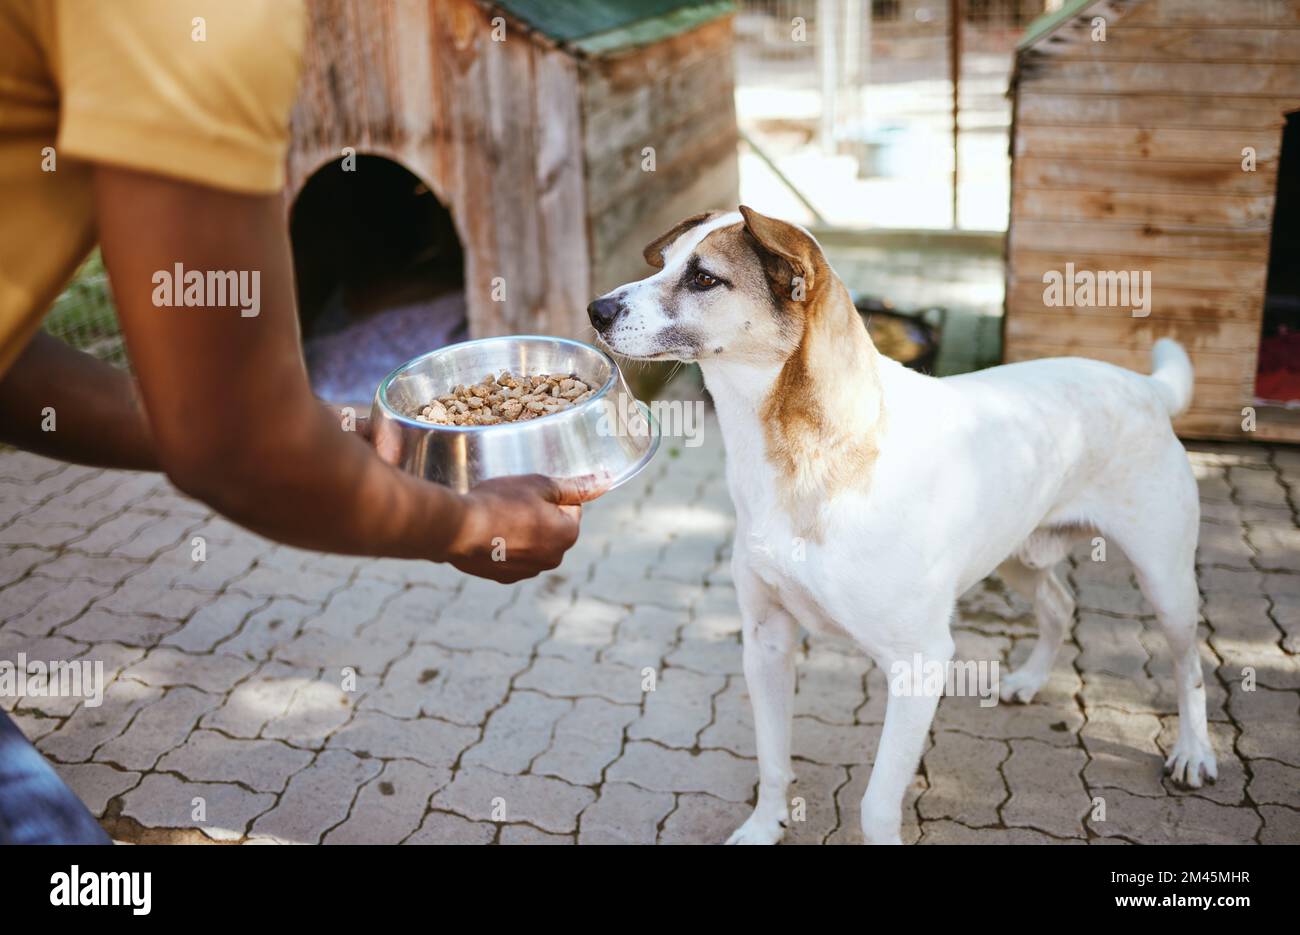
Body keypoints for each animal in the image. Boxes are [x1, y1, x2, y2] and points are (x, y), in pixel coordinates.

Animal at [590, 208, 1216, 842]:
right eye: (667, 263)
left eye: (704, 278)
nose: (597, 309)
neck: (804, 456)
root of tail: (1142, 385)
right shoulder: (766, 639)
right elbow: (771, 761)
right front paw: (765, 826)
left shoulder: (920, 664)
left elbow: (874, 804)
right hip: (1016, 554)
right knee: (1060, 604)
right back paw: (1030, 679)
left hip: (1165, 581)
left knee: (1190, 665)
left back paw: (1194, 751)